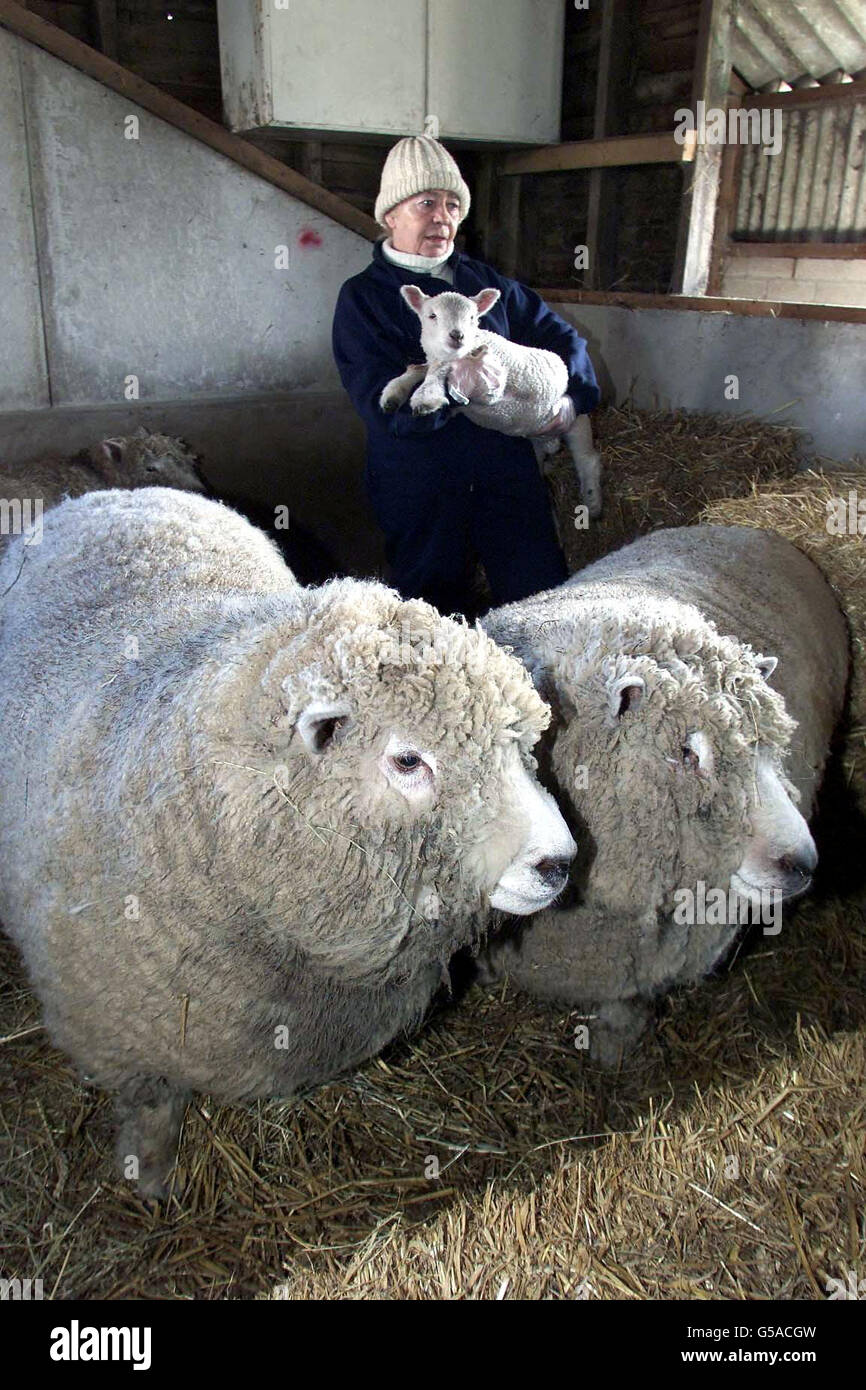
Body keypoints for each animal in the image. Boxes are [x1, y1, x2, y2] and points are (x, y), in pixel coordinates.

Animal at [0, 486, 575, 1195]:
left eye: (525, 746)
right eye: (407, 760)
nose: (560, 863)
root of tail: (109, 496)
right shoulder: (119, 1039)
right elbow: (151, 1108)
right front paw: (149, 1180)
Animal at [378, 287, 603, 522]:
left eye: (472, 317)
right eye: (432, 316)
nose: (457, 335)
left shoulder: (492, 382)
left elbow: (437, 369)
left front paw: (426, 396)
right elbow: (420, 368)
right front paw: (394, 393)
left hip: (576, 421)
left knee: (588, 459)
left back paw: (592, 503)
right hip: (536, 437)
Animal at [480, 522, 856, 1061]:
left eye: (770, 743)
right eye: (685, 752)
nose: (803, 863)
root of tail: (751, 529)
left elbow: (624, 1003)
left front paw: (611, 1049)